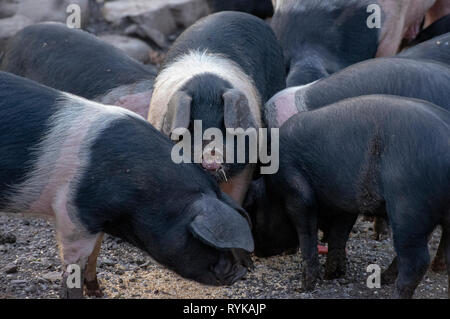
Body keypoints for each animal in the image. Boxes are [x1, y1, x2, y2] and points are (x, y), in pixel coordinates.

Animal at [0, 72, 253, 300]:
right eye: (205, 243)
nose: (240, 273)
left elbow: (95, 253)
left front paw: (98, 292)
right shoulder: (73, 215)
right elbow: (74, 266)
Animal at [248, 94, 448, 298]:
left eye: (254, 212)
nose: (258, 252)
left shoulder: (295, 189)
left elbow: (307, 230)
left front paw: (304, 287)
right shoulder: (346, 202)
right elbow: (339, 233)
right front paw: (333, 275)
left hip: (408, 208)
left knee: (417, 261)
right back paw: (392, 276)